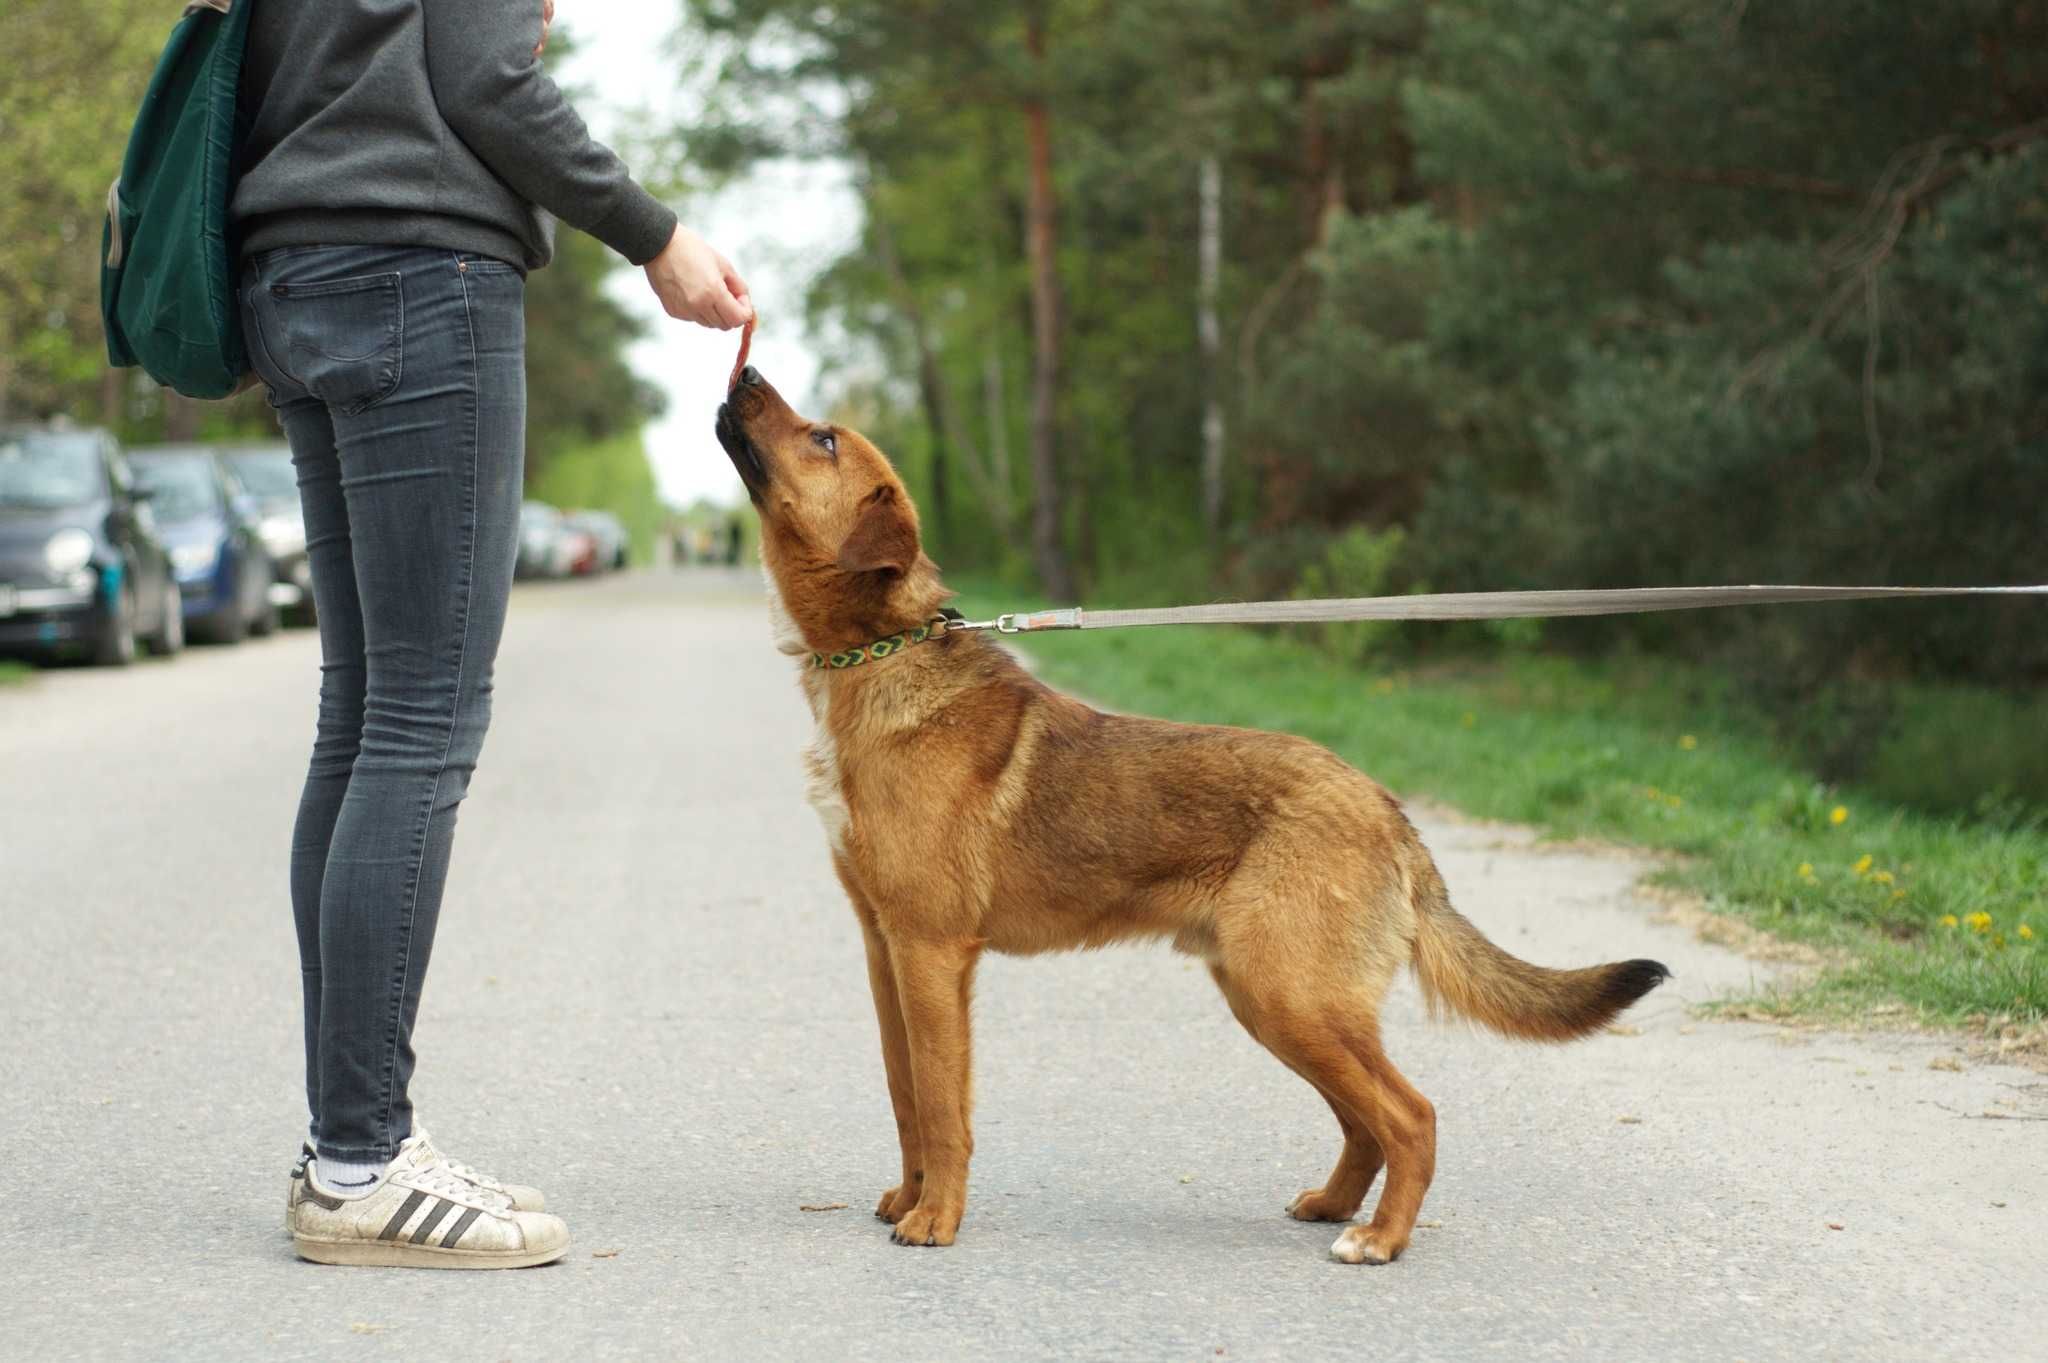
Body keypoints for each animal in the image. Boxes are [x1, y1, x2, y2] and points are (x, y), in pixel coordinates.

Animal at [716, 364, 1662, 1260]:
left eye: (824, 438)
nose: (746, 373)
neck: (880, 655)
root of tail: (1388, 811)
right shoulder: (887, 950)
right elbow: (906, 1096)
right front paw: (907, 1198)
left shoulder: (932, 950)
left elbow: (944, 1108)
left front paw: (935, 1220)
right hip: (1274, 1000)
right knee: (1366, 1123)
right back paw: (1335, 1208)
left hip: (1291, 996)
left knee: (1412, 1115)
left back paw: (1380, 1239)